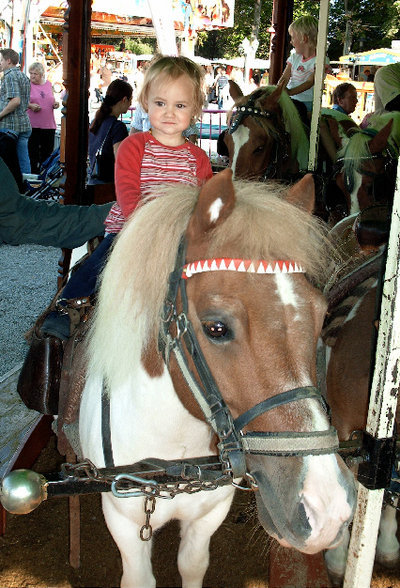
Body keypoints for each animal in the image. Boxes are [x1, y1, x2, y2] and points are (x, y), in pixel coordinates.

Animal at [79, 168, 356, 584]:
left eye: (322, 314)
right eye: (216, 328)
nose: (326, 507)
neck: (177, 451)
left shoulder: (210, 513)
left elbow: (192, 565)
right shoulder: (124, 521)